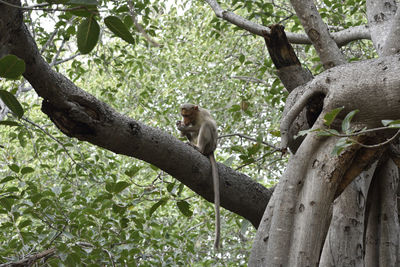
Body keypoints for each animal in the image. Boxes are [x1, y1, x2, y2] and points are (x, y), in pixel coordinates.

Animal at [176, 103, 222, 251]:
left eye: (187, 115)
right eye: (183, 115)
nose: (184, 121)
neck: (195, 116)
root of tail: (211, 150)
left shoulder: (202, 115)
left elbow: (206, 124)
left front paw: (183, 127)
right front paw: (181, 127)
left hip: (209, 144)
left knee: (206, 126)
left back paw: (199, 149)